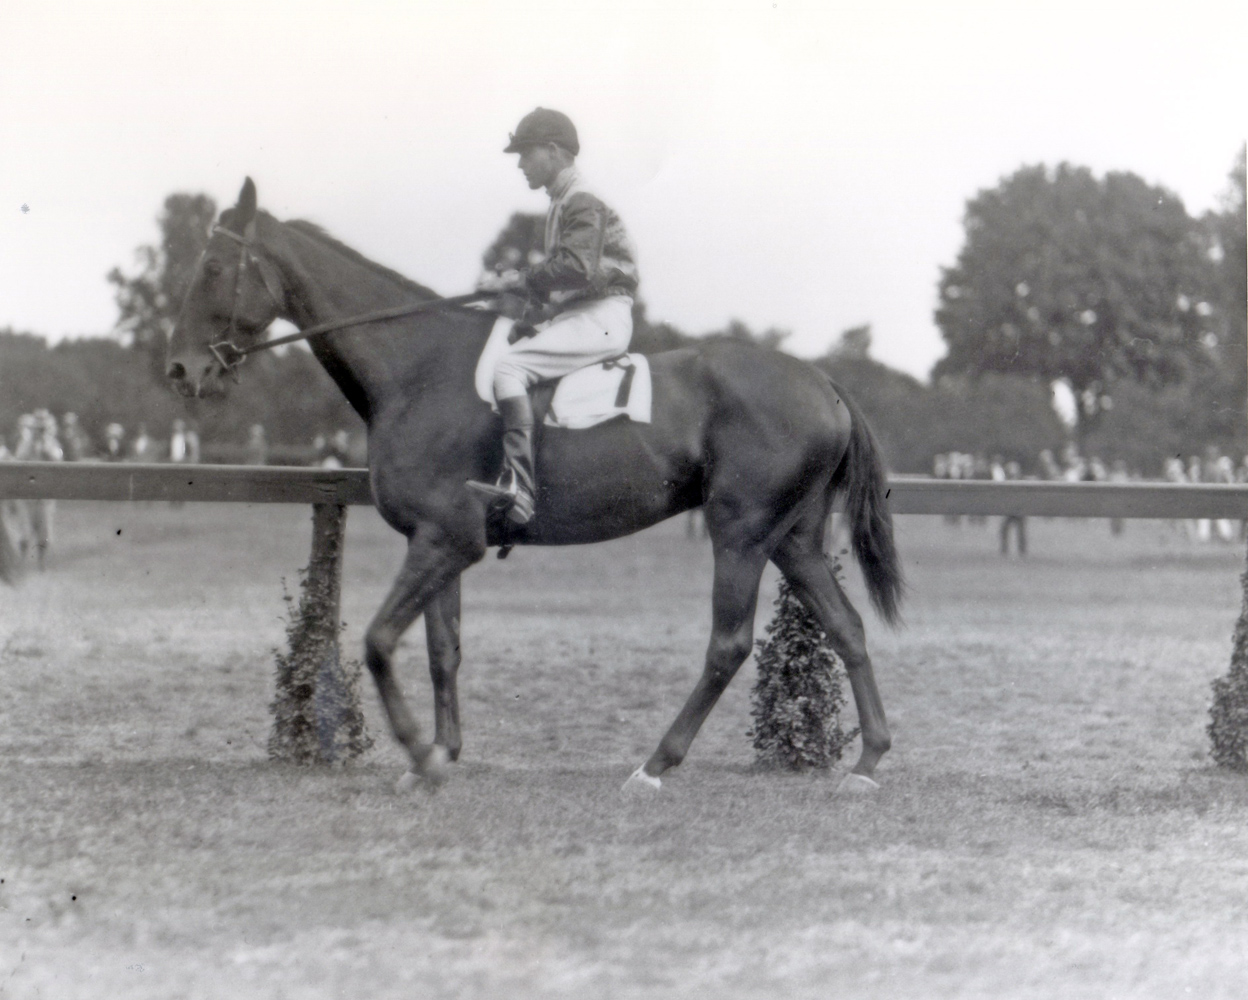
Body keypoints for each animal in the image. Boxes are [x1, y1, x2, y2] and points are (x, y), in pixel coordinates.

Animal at [168, 176, 908, 794]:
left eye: (213, 268)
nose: (180, 369)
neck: (419, 369)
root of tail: (822, 381)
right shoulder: (437, 542)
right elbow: (442, 650)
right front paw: (442, 752)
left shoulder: (445, 539)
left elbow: (379, 642)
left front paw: (418, 752)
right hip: (794, 540)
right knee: (846, 627)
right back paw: (867, 761)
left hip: (741, 533)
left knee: (728, 645)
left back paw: (655, 764)